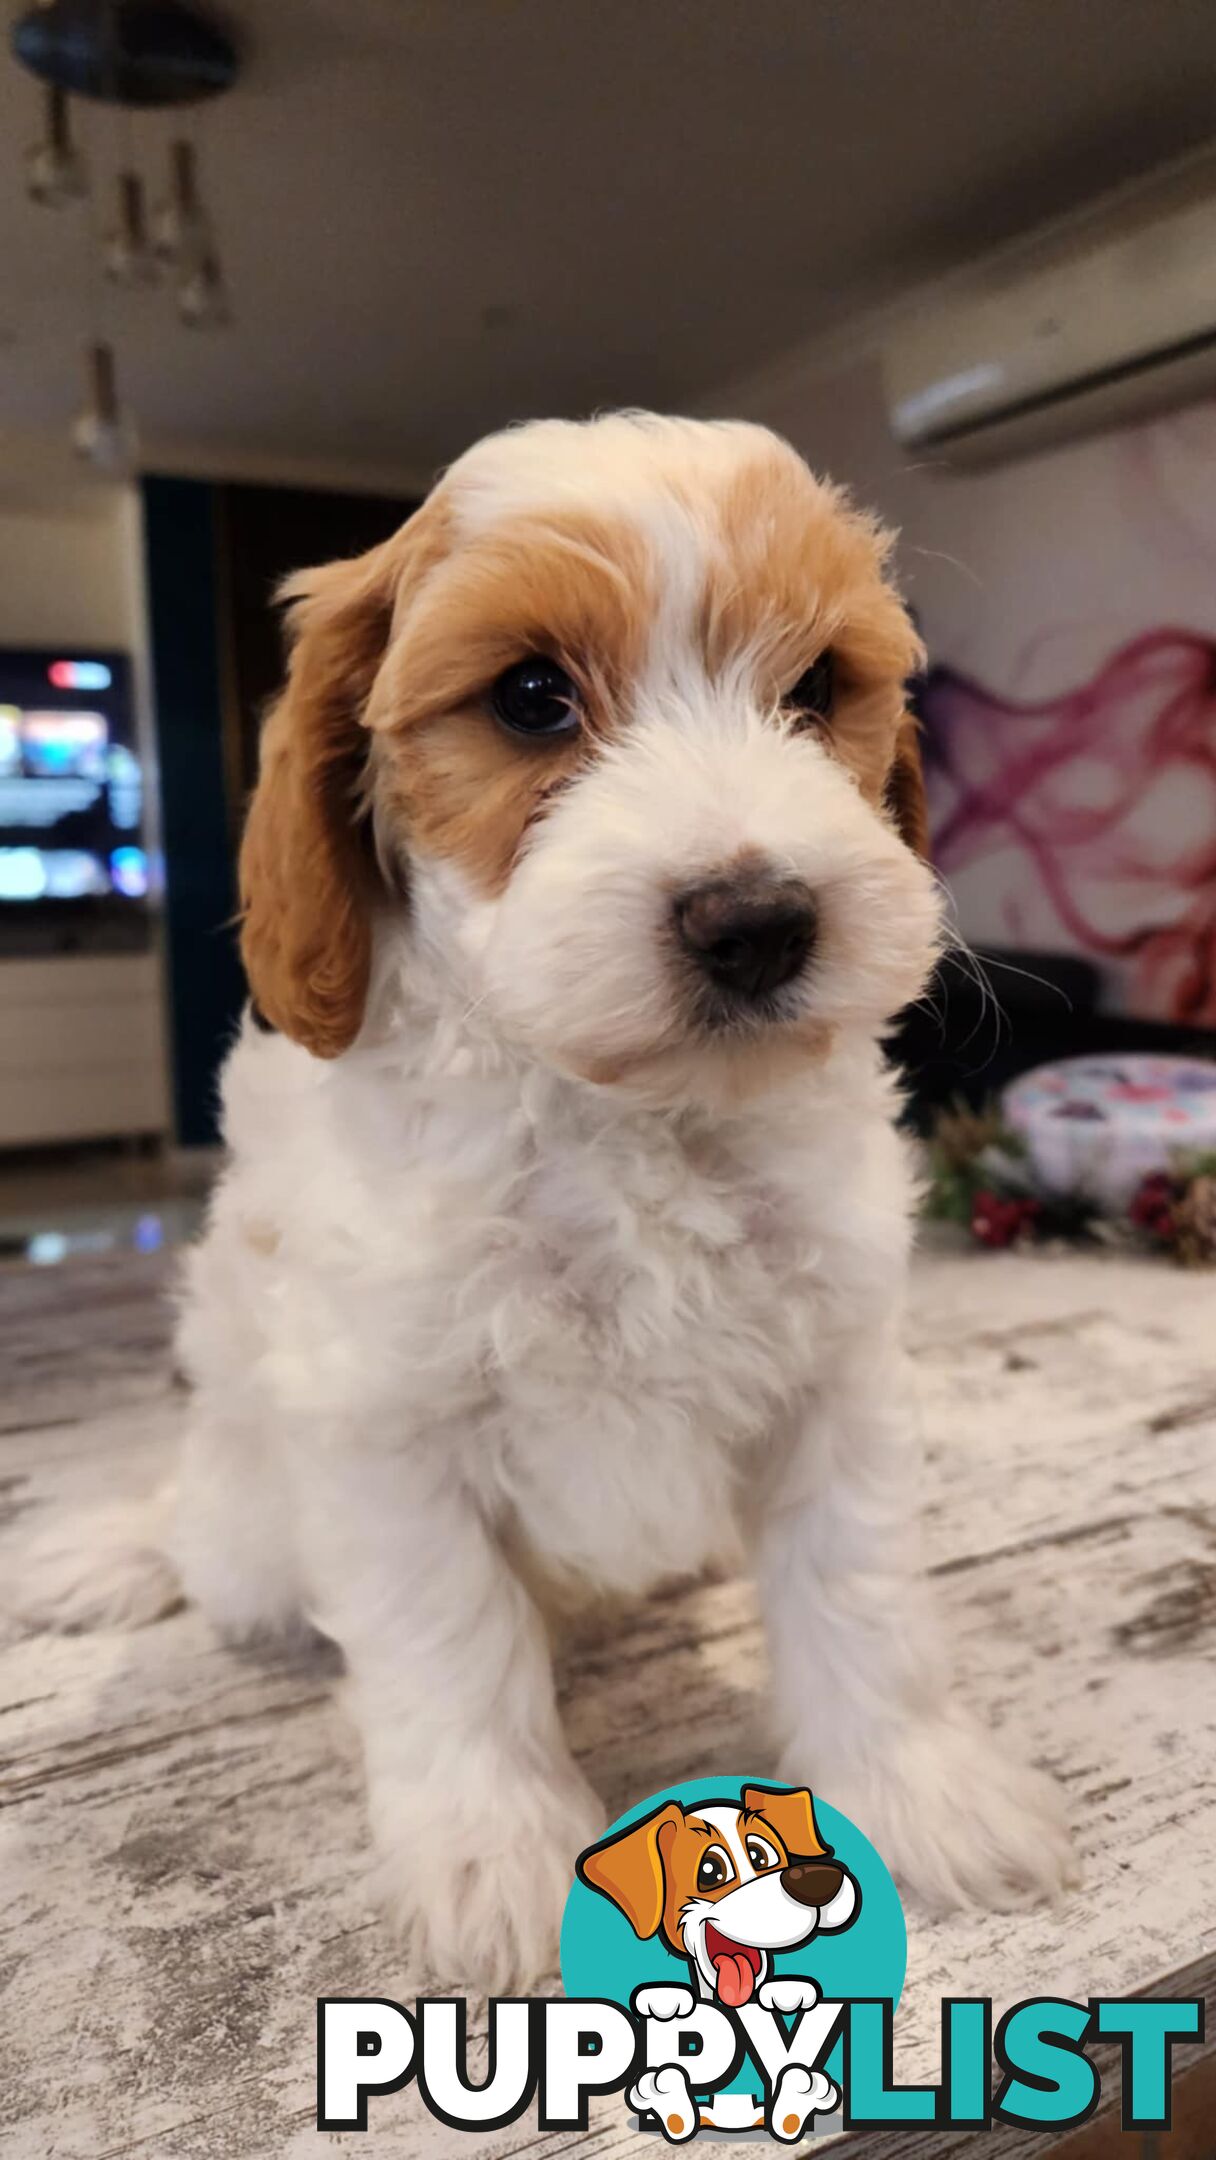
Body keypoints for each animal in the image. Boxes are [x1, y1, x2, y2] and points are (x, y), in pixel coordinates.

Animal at [16, 408, 1075, 1987]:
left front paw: (915, 1794)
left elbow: (860, 1590)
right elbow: (450, 1641)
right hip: (254, 1517)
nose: (756, 923)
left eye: (817, 688)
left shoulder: (835, 1370)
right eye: (529, 698)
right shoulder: (386, 1423)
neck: (616, 1112)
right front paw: (496, 1863)